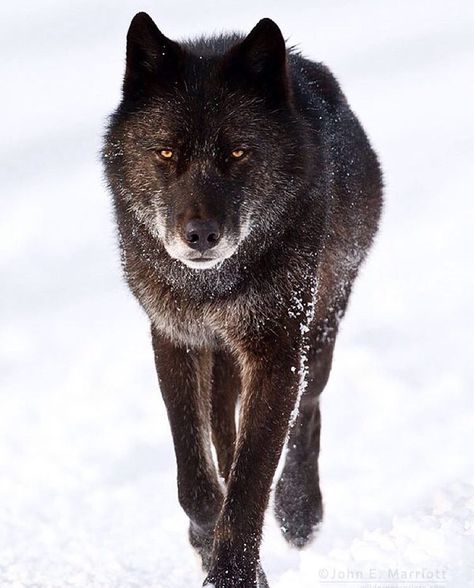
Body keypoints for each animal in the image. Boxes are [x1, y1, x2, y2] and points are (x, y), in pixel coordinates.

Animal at [103, 11, 382, 584]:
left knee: (307, 410)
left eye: (237, 152)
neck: (213, 288)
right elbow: (197, 479)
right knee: (223, 432)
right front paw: (208, 542)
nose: (201, 236)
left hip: (319, 330)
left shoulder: (277, 351)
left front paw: (234, 571)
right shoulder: (176, 338)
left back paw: (299, 511)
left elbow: (252, 481)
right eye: (166, 152)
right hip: (227, 360)